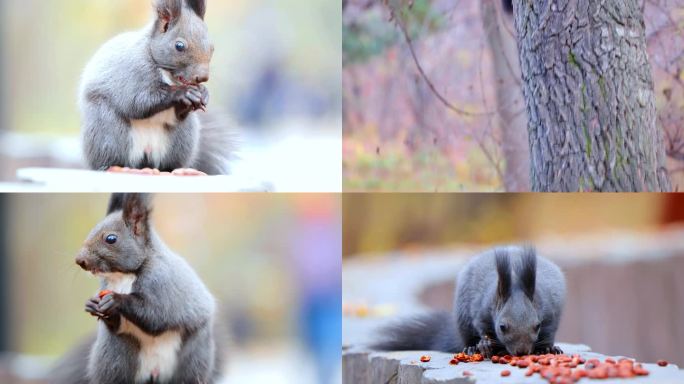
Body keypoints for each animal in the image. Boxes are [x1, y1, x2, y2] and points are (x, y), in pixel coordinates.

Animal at [49, 194, 223, 382]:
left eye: (111, 239)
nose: (80, 260)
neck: (123, 276)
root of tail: (154, 372)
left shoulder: (162, 283)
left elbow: (157, 316)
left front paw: (115, 300)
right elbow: (117, 323)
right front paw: (92, 304)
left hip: (193, 356)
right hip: (116, 356)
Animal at [80, 0, 232, 174]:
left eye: (212, 47)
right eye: (179, 46)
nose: (203, 77)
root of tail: (145, 156)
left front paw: (204, 93)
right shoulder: (131, 74)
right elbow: (137, 102)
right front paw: (183, 93)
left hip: (182, 139)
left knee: (168, 162)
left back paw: (173, 170)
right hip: (108, 131)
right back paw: (110, 166)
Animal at [374, 246, 568, 356]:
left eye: (537, 326)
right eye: (502, 327)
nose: (521, 353)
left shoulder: (550, 313)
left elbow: (549, 332)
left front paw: (547, 349)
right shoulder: (481, 311)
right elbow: (482, 328)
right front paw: (485, 345)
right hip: (463, 320)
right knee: (467, 338)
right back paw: (472, 349)